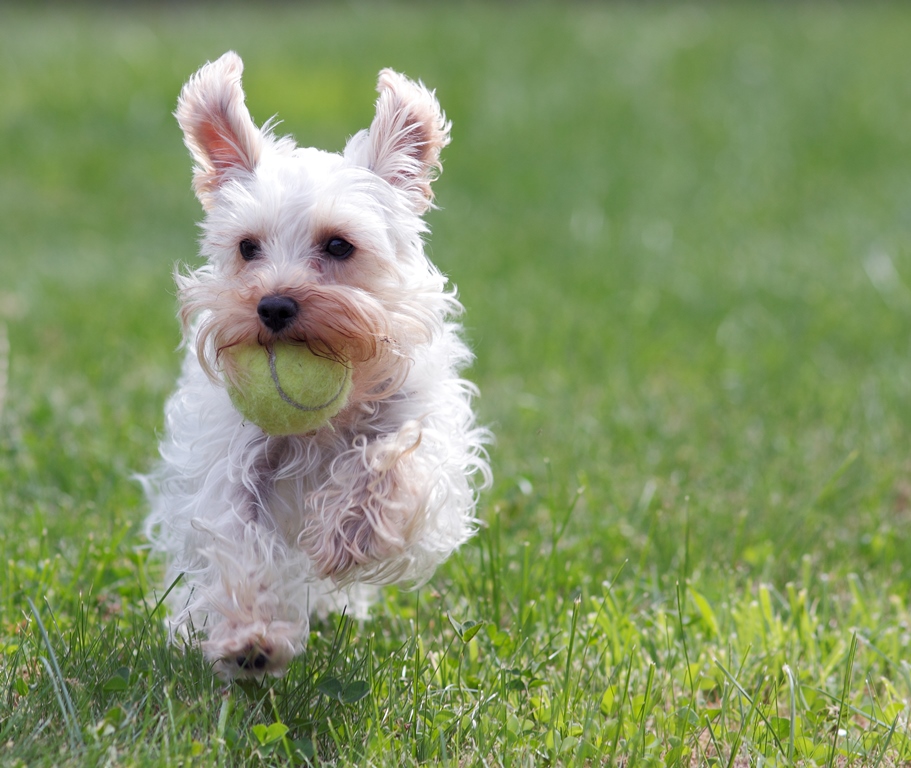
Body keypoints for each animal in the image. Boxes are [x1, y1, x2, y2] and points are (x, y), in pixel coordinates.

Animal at [141, 52, 492, 680]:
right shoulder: (234, 457)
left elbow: (392, 464)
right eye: (247, 247)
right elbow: (236, 537)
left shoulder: (424, 436)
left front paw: (348, 534)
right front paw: (252, 637)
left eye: (338, 245)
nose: (273, 306)